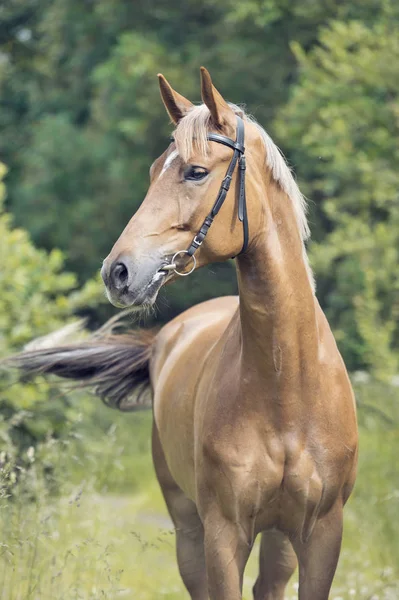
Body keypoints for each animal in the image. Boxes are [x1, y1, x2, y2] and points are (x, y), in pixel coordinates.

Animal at [10, 68, 358, 596]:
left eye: (195, 171)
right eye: (155, 170)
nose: (117, 272)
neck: (288, 386)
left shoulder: (321, 534)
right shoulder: (223, 533)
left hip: (279, 539)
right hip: (188, 527)